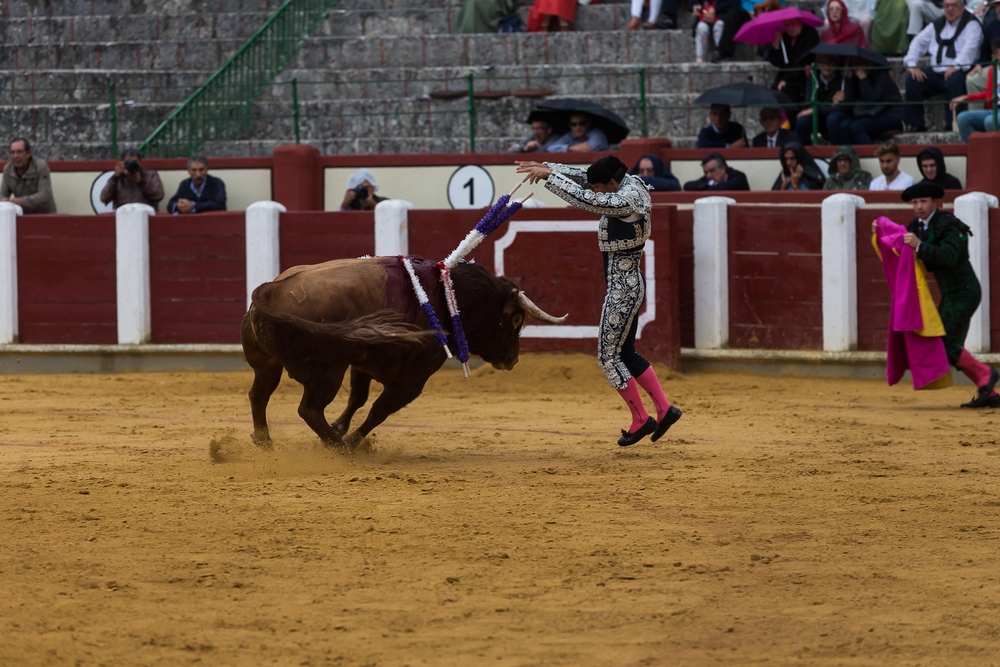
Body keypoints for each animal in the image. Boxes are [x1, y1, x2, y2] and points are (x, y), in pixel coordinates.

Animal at [239, 254, 568, 448]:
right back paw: (338, 446)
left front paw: (342, 427)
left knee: (258, 395)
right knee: (308, 409)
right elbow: (381, 408)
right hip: (327, 372)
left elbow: (359, 398)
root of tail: (271, 290)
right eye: (515, 319)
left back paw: (265, 440)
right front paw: (354, 440)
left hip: (267, 364)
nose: (513, 359)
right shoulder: (415, 377)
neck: (448, 298)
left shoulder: (362, 362)